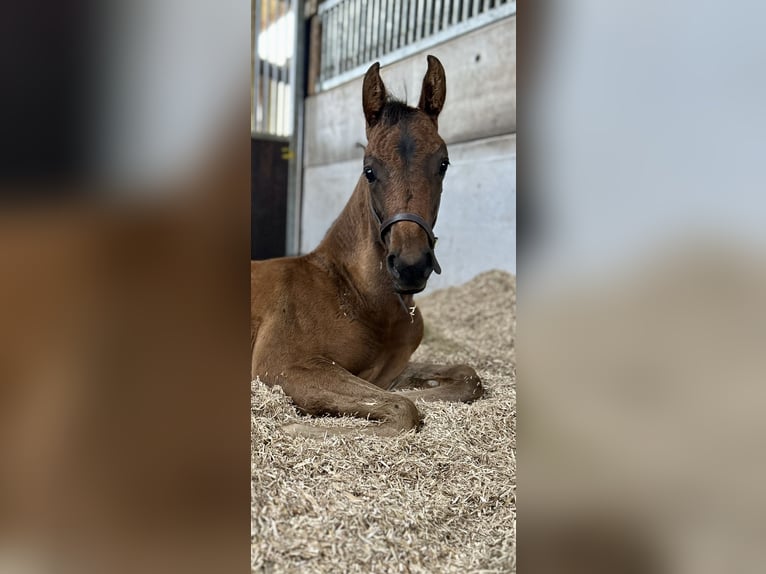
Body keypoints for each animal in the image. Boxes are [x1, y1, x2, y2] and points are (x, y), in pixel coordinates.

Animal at [252, 56, 484, 438]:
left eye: (443, 164)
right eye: (369, 170)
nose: (410, 265)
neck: (354, 295)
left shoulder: (387, 371)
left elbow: (465, 377)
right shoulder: (282, 365)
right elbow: (404, 408)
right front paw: (295, 427)